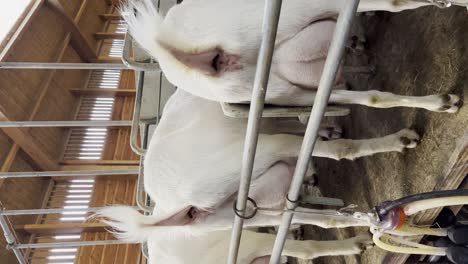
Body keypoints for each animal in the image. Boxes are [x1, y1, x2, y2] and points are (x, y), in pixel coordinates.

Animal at [99, 89, 420, 240]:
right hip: (261, 151)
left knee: (323, 218)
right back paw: (400, 139)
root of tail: (175, 206)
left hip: (247, 216)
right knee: (339, 151)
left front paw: (329, 128)